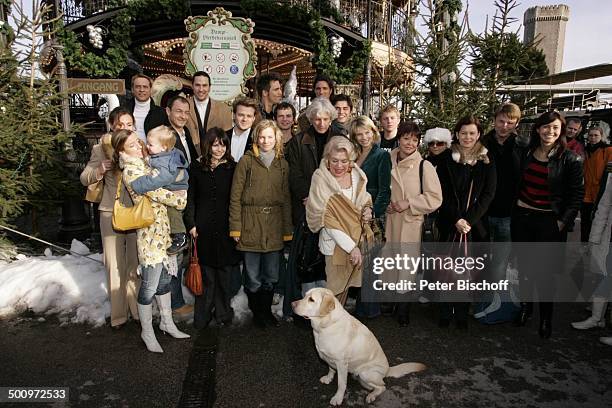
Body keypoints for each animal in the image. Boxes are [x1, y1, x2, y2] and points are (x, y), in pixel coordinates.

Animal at [292, 286, 426, 404]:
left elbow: (341, 384)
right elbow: (331, 369)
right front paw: (328, 378)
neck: (326, 325)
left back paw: (371, 396)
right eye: (305, 295)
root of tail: (388, 369)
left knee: (382, 386)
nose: (292, 304)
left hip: (365, 373)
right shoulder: (330, 359)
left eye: (311, 299)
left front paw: (338, 398)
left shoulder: (341, 363)